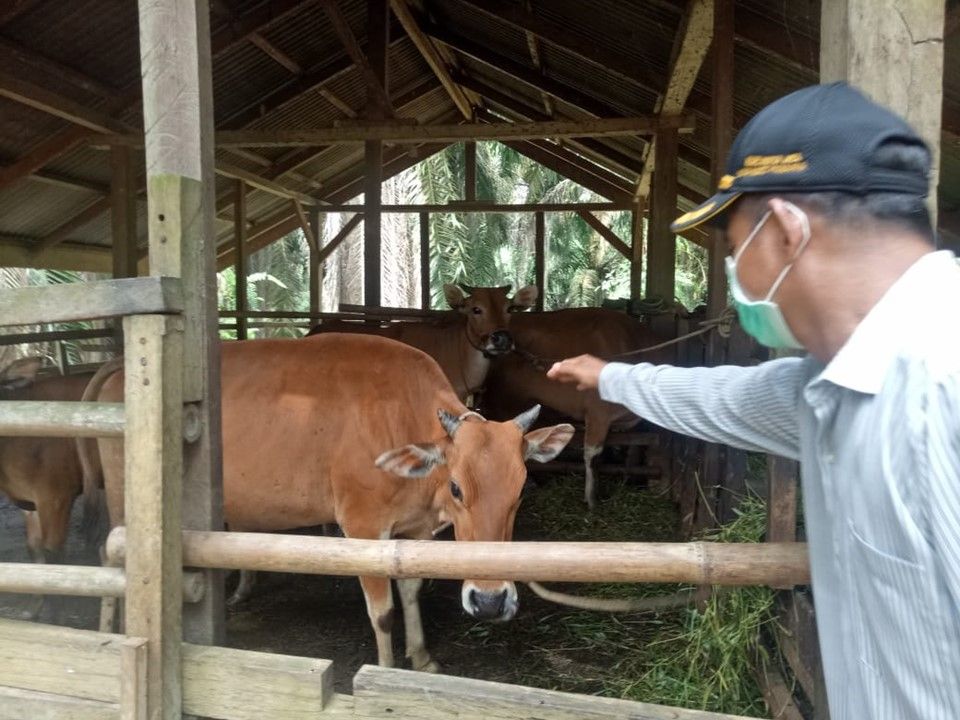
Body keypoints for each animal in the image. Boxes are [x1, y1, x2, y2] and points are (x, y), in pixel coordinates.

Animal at [0, 358, 99, 616]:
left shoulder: (56, 497)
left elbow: (53, 553)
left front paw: (57, 614)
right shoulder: (29, 502)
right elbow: (34, 549)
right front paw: (35, 607)